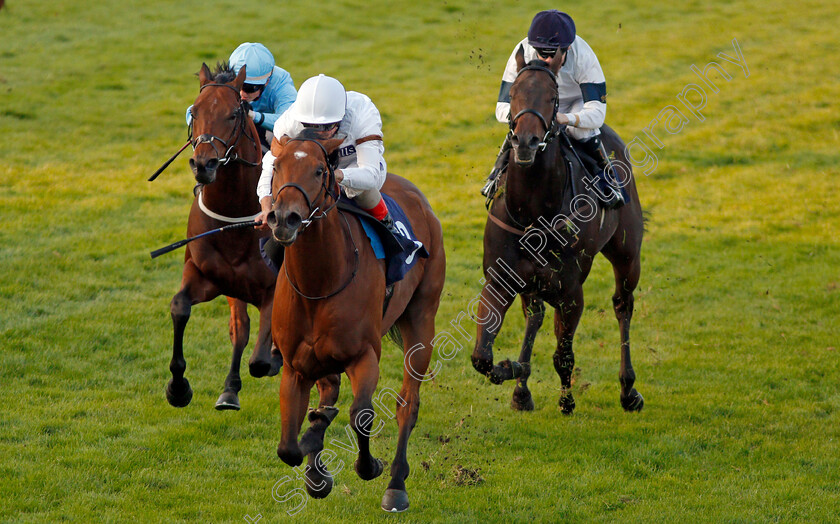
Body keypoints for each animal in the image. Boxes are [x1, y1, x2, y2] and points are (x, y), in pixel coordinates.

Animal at [164, 63, 282, 412]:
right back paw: (229, 390)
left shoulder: (272, 289)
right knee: (240, 328)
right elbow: (180, 307)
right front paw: (178, 389)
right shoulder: (206, 276)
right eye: (194, 111)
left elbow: (261, 359)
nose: (204, 164)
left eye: (232, 114)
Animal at [264, 131, 446, 512]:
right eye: (276, 166)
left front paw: (369, 465)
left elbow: (361, 414)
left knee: (408, 403)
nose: (284, 218)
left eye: (320, 170)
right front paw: (316, 467)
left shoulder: (364, 356)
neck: (319, 283)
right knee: (328, 391)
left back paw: (396, 484)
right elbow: (288, 447)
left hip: (422, 319)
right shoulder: (295, 368)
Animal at [472, 46, 644, 414]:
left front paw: (566, 399)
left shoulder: (571, 291)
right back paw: (521, 389)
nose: (525, 141)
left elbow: (562, 354)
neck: (532, 210)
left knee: (623, 305)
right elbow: (481, 356)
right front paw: (515, 370)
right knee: (534, 315)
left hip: (627, 253)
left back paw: (628, 390)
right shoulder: (500, 279)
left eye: (553, 98)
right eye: (514, 93)